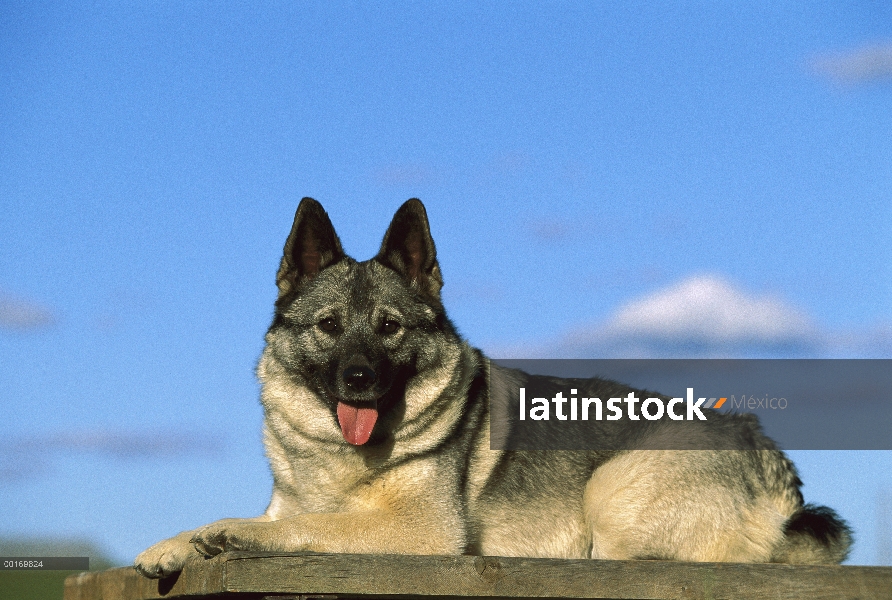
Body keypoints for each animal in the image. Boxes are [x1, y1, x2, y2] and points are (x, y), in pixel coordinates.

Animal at [132, 197, 852, 576]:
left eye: (390, 327)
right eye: (330, 326)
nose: (358, 379)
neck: (340, 459)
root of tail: (767, 455)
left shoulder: (420, 532)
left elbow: (302, 527)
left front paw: (227, 537)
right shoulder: (289, 503)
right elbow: (255, 518)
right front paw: (172, 545)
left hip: (611, 487)